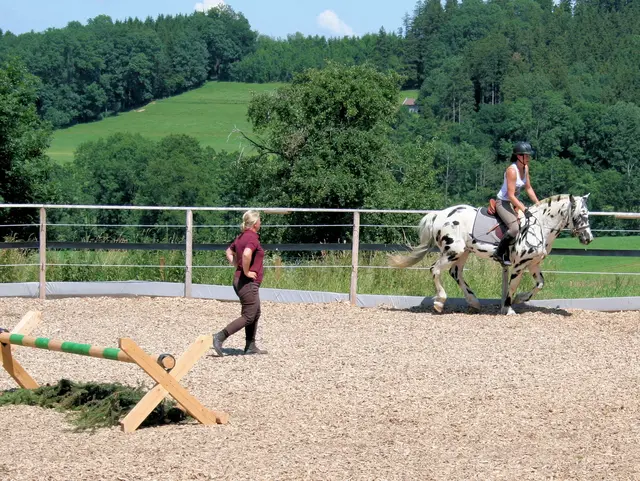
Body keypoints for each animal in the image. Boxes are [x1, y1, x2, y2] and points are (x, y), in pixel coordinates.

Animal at [390, 193, 596, 314]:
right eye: (581, 215)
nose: (588, 238)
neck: (539, 226)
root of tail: (439, 215)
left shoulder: (533, 263)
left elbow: (540, 284)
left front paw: (521, 299)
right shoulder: (519, 265)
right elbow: (512, 286)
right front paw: (509, 308)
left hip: (464, 252)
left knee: (455, 273)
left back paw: (473, 302)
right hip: (453, 250)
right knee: (435, 269)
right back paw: (440, 302)